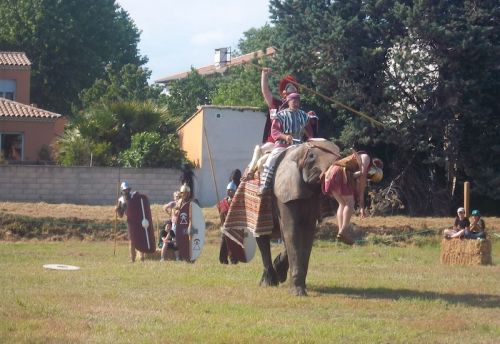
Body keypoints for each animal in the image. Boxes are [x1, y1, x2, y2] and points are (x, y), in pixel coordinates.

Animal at [254, 138, 340, 296]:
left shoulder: (312, 196)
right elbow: (292, 231)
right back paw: (268, 283)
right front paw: (298, 293)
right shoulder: (283, 194)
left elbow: (307, 232)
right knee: (261, 237)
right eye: (311, 156)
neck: (298, 152)